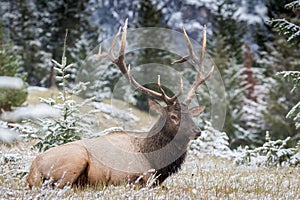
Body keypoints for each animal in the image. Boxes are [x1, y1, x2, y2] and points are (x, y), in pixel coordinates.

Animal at [25, 19, 213, 188]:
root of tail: (33, 170)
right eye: (173, 116)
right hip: (75, 158)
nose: (197, 131)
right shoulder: (135, 175)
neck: (155, 159)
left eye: (191, 115)